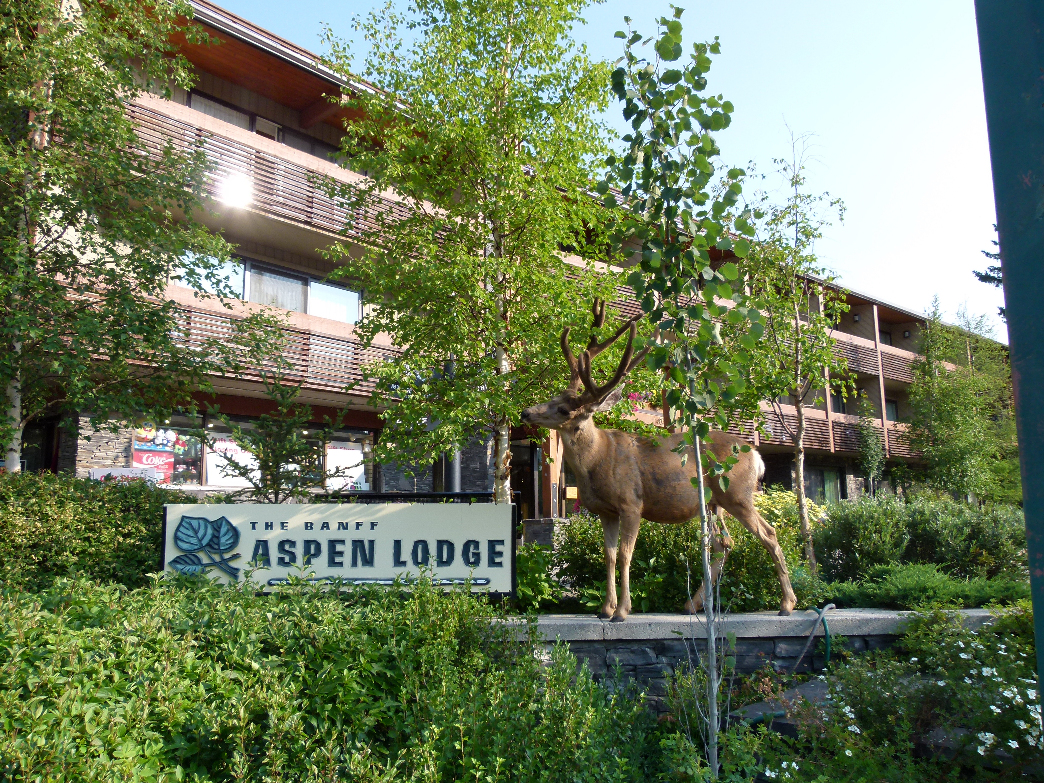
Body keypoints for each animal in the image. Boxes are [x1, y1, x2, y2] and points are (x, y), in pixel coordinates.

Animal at [517, 302, 793, 626]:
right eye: (552, 396)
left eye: (562, 409)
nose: (525, 412)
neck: (597, 459)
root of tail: (757, 456)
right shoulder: (605, 511)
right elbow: (609, 555)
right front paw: (605, 608)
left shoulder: (631, 502)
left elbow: (626, 554)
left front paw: (622, 611)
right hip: (713, 503)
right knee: (724, 544)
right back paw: (692, 605)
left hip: (737, 493)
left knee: (768, 534)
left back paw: (787, 603)